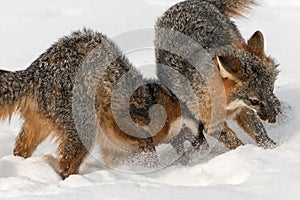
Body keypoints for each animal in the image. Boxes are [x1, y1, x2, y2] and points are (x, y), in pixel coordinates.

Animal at [155, 0, 282, 149]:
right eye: (254, 101)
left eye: (270, 90)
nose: (273, 119)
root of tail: (192, 2)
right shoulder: (212, 125)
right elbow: (236, 143)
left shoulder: (243, 109)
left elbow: (259, 132)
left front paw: (273, 148)